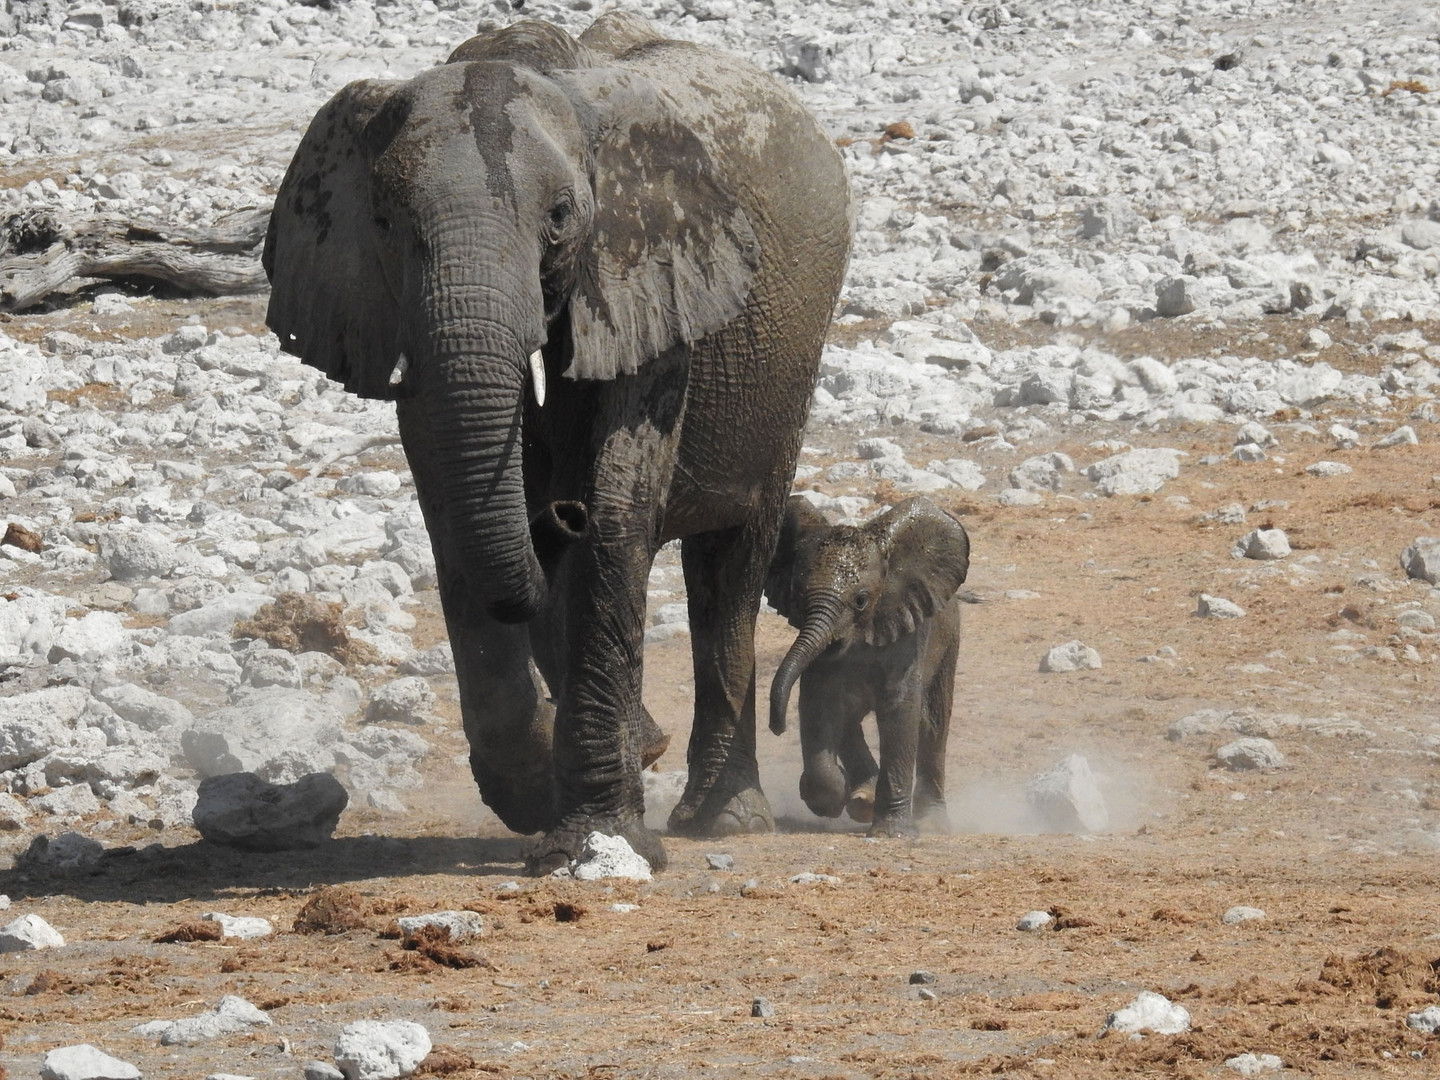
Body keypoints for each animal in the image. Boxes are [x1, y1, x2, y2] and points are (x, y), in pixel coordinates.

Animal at [262, 12, 852, 875]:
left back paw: (725, 819)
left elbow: (618, 504)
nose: (557, 516)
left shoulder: (650, 270)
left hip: (788, 366)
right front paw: (542, 795)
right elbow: (449, 503)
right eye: (385, 224)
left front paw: (595, 841)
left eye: (562, 217)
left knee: (730, 567)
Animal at [760, 495, 973, 840]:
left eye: (860, 600)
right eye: (798, 596)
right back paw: (862, 800)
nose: (776, 728)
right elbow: (819, 704)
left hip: (949, 638)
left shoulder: (909, 637)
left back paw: (930, 823)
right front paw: (829, 795)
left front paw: (890, 833)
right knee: (849, 720)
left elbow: (900, 713)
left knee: (934, 726)